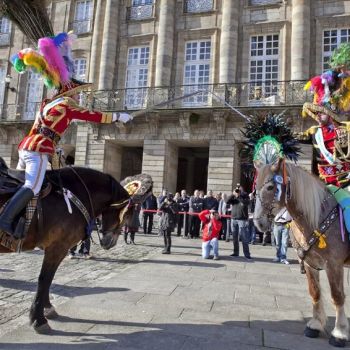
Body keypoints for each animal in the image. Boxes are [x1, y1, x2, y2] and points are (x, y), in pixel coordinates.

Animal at [0, 164, 135, 334]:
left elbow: (48, 280)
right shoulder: (58, 247)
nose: (109, 243)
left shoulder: (55, 248)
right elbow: (44, 279)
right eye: (127, 215)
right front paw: (38, 319)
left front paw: (47, 308)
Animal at [254, 162, 350, 348]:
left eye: (270, 187)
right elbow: (315, 292)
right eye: (255, 188)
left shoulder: (334, 264)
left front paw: (340, 333)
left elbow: (337, 296)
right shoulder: (309, 263)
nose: (258, 222)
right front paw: (315, 325)